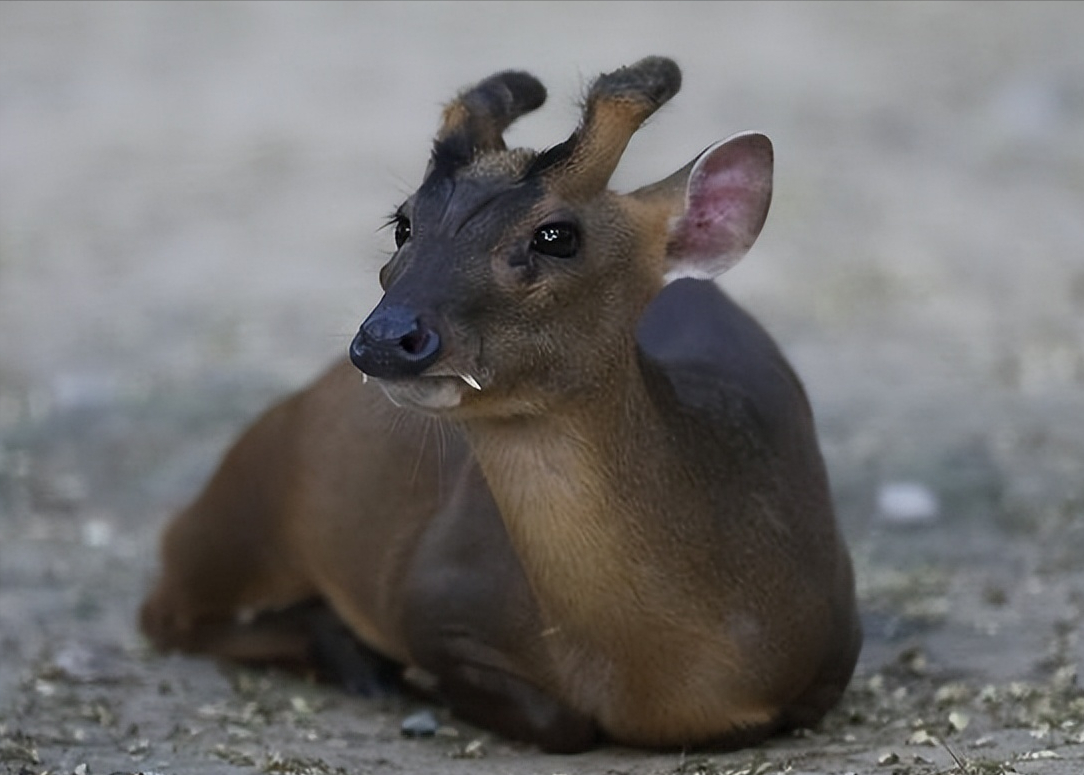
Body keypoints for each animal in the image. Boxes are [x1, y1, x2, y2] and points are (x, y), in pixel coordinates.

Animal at [139, 57, 858, 754]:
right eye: (404, 222)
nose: (386, 337)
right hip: (246, 504)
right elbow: (557, 720)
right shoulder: (434, 599)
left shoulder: (835, 649)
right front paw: (410, 675)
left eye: (556, 235)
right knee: (165, 608)